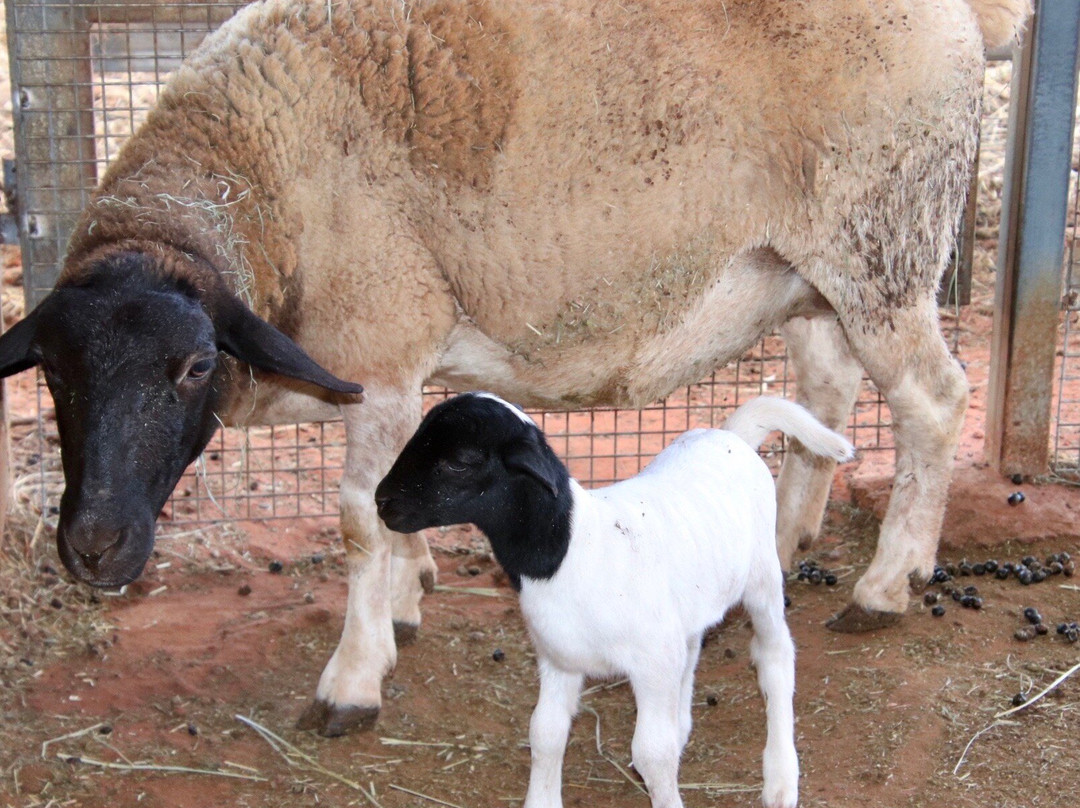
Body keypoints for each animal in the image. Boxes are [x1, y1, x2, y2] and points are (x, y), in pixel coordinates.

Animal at [0, 0, 1028, 738]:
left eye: (191, 366)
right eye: (52, 373)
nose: (91, 549)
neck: (261, 176)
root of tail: (966, 16)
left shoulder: (381, 343)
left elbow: (359, 521)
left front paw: (352, 679)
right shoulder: (396, 367)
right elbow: (393, 506)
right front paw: (407, 600)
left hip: (882, 240)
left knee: (933, 401)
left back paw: (885, 584)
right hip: (803, 272)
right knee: (826, 390)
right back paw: (780, 542)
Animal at [375, 388, 855, 803]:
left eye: (460, 462)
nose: (381, 501)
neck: (569, 549)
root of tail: (730, 436)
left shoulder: (650, 661)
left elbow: (651, 752)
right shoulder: (560, 658)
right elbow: (544, 733)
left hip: (761, 578)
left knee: (775, 658)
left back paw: (780, 778)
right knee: (692, 648)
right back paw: (683, 724)